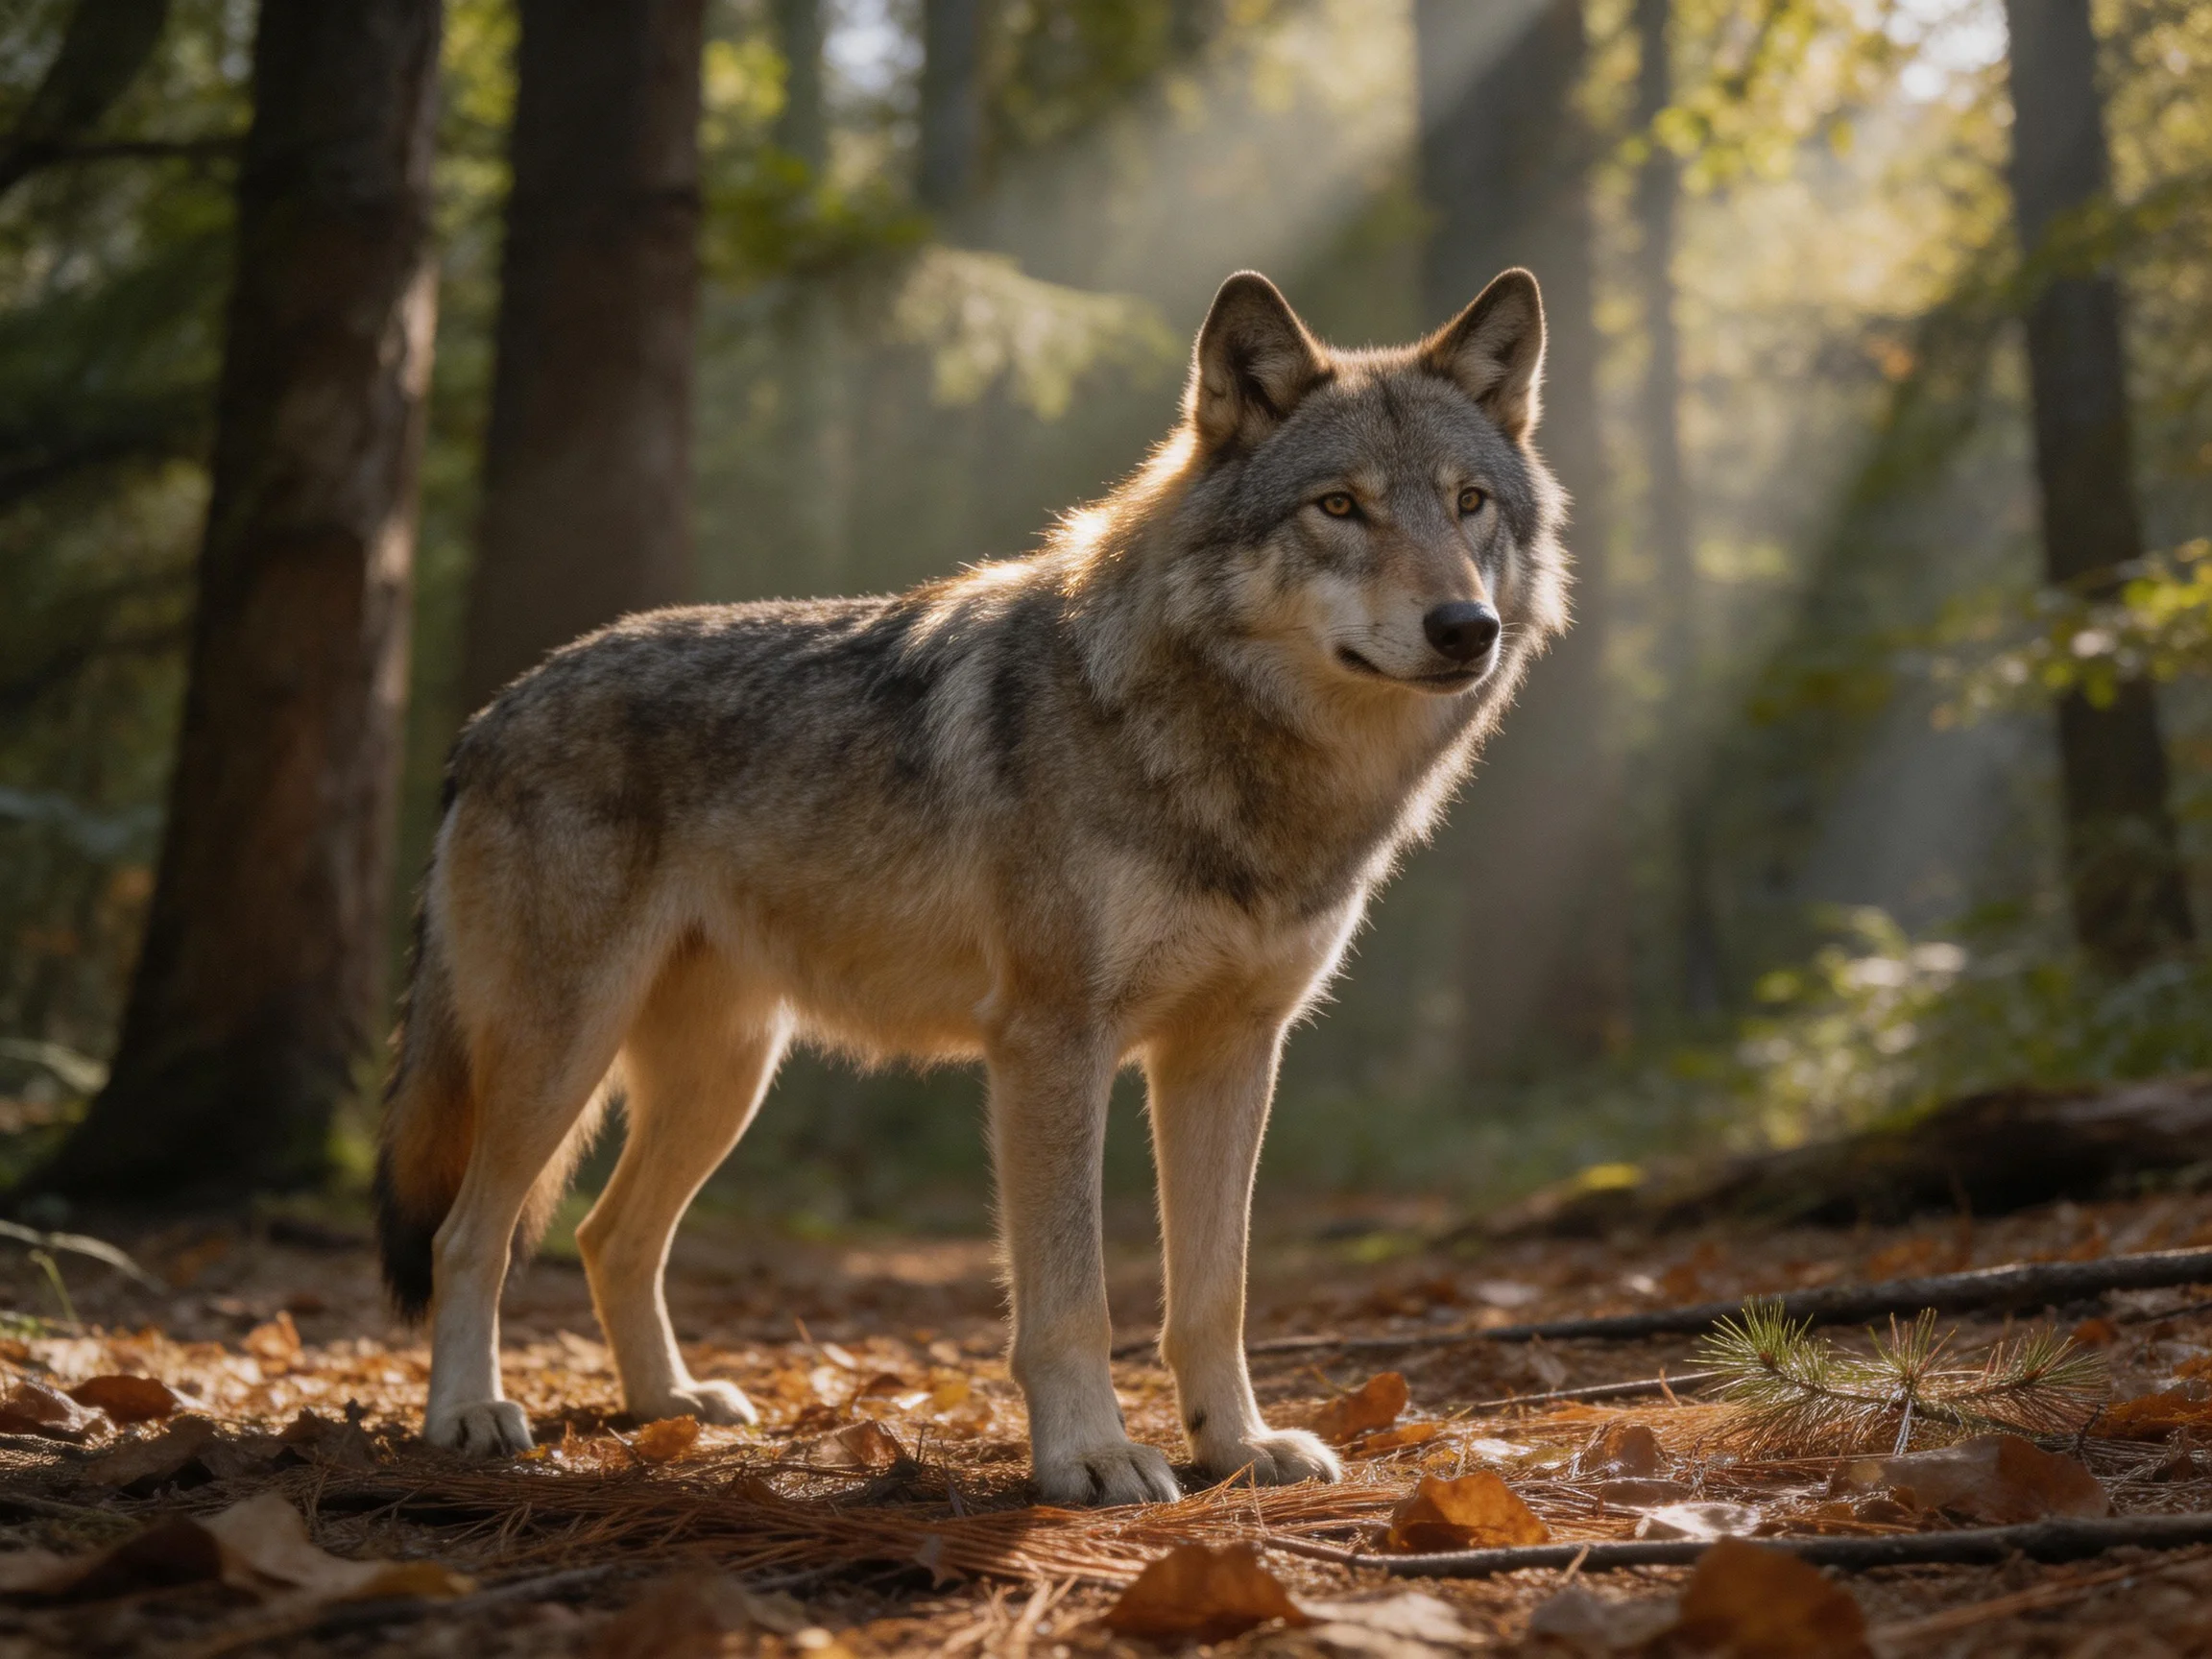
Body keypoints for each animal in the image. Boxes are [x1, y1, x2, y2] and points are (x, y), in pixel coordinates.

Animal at [374, 267, 1569, 1505]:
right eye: (1339, 507)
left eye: (1470, 503)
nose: (1465, 626)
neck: (1238, 765)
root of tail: (491, 716)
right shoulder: (1051, 1042)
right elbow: (1073, 1299)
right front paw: (1091, 1457)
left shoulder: (1231, 1051)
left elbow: (1215, 1293)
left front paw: (1237, 1447)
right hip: (565, 1053)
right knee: (470, 1236)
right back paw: (467, 1415)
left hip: (725, 1077)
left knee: (610, 1236)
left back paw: (669, 1406)